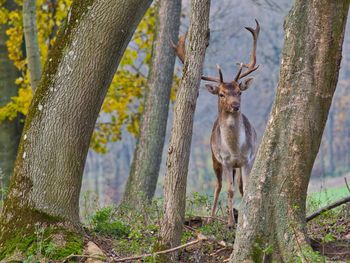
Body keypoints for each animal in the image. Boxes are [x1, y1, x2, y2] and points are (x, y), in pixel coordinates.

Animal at [172, 20, 260, 228]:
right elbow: (228, 190)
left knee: (238, 185)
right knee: (218, 185)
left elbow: (245, 188)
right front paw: (230, 223)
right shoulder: (225, 160)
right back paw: (211, 218)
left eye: (239, 92)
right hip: (214, 159)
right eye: (221, 94)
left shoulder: (248, 158)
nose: (235, 105)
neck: (235, 149)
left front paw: (240, 218)